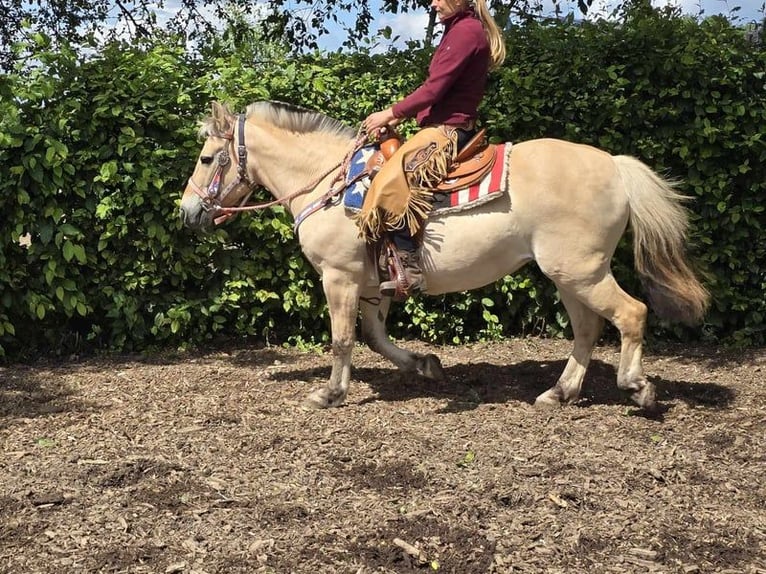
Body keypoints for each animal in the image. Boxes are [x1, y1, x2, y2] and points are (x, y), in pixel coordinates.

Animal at [178, 101, 708, 412]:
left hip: (581, 271)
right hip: (568, 274)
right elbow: (375, 338)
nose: (187, 212)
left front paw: (329, 392)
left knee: (631, 314)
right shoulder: (374, 286)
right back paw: (559, 392)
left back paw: (637, 388)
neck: (331, 183)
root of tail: (614, 166)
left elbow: (343, 340)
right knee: (588, 329)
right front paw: (424, 365)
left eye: (206, 158)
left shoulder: (339, 277)